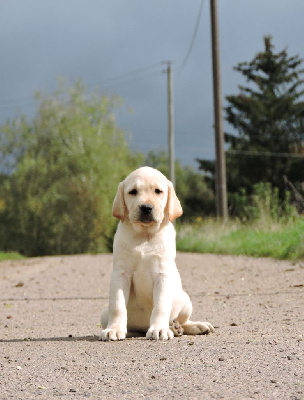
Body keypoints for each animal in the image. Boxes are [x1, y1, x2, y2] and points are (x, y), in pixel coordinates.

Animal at [100, 166, 214, 340]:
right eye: (133, 192)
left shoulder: (163, 275)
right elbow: (117, 306)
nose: (146, 207)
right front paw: (113, 329)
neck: (144, 235)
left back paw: (191, 326)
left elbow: (160, 306)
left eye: (158, 191)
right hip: (103, 314)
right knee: (132, 327)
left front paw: (159, 329)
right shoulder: (121, 274)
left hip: (185, 299)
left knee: (182, 321)